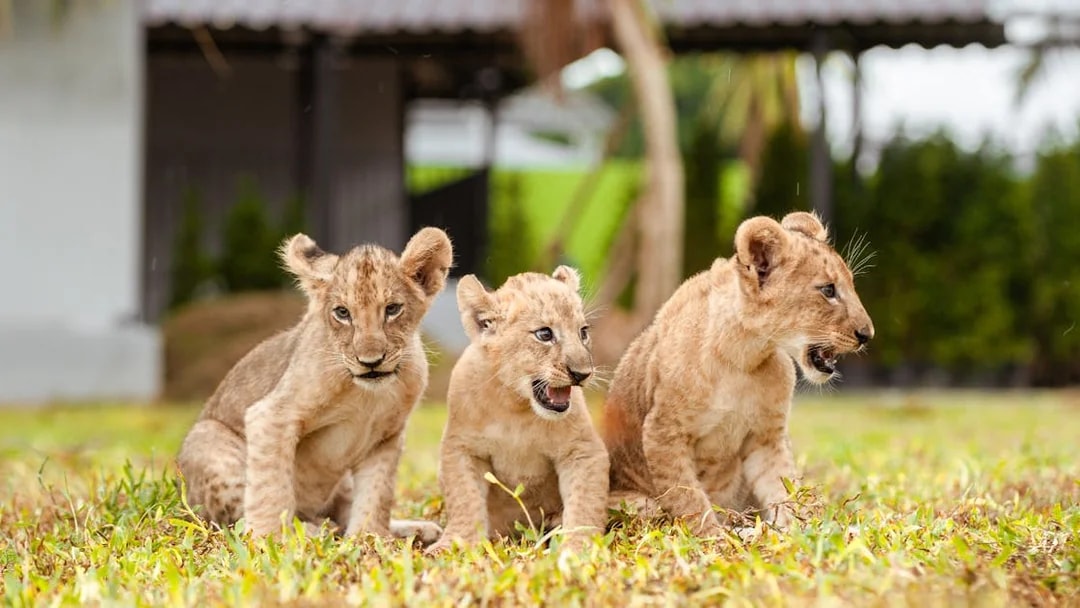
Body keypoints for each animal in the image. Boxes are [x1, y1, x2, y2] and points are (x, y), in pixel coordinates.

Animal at [175, 227, 452, 543]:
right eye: (342, 313)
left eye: (392, 309)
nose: (370, 361)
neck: (367, 395)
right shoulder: (271, 415)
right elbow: (270, 487)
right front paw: (268, 538)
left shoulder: (386, 437)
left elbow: (375, 494)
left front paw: (369, 538)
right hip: (207, 440)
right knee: (236, 520)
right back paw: (310, 529)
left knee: (343, 513)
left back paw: (414, 529)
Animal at [425, 267, 610, 554]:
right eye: (544, 334)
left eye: (583, 332)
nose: (582, 374)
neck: (516, 405)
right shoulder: (461, 447)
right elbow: (464, 499)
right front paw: (454, 544)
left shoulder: (582, 450)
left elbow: (584, 503)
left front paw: (578, 549)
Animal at [603, 211, 874, 535]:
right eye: (828, 290)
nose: (867, 334)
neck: (742, 355)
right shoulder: (663, 434)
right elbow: (688, 498)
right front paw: (714, 538)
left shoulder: (766, 436)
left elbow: (784, 488)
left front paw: (800, 531)